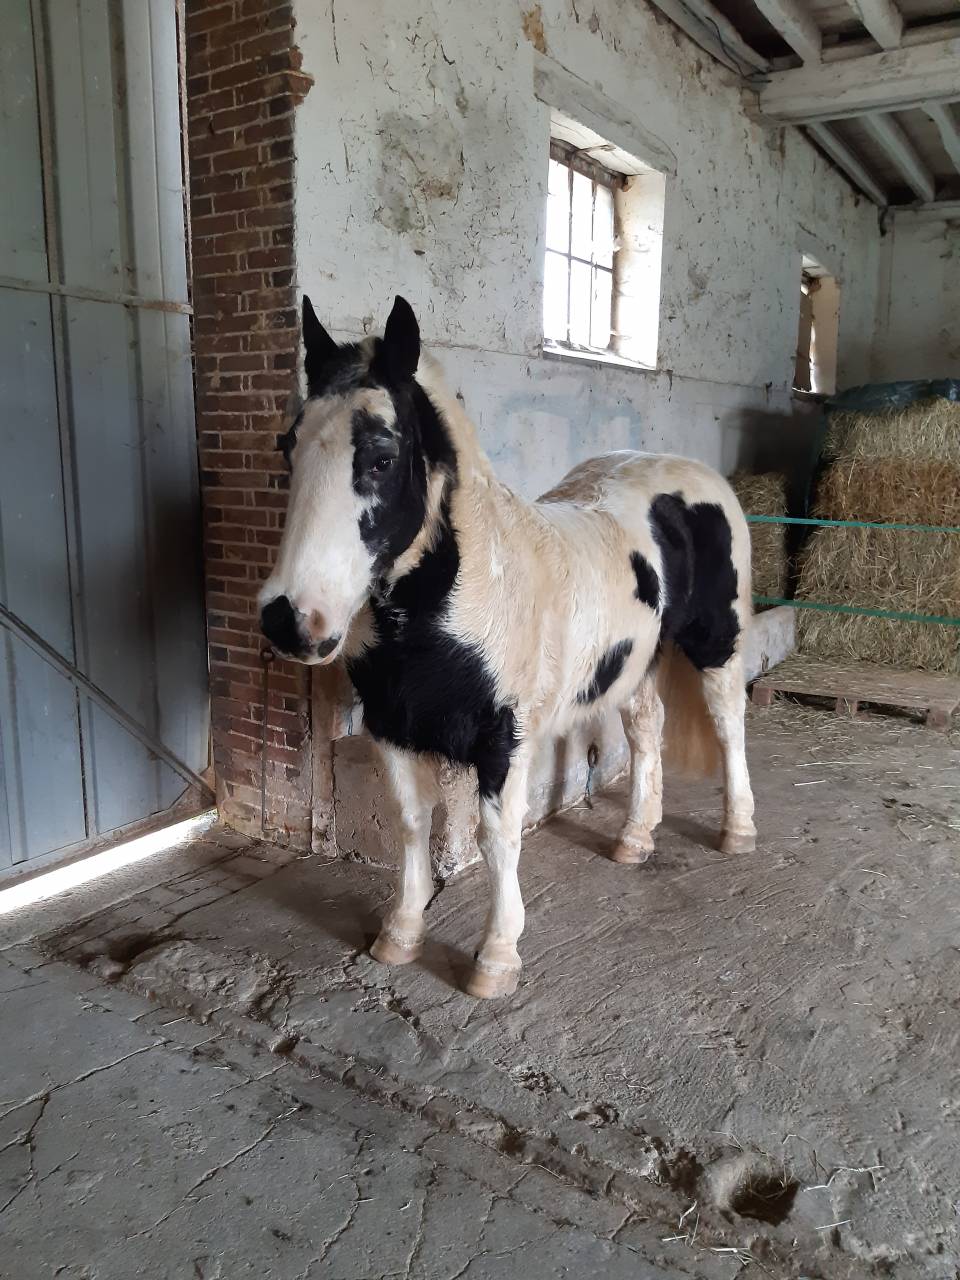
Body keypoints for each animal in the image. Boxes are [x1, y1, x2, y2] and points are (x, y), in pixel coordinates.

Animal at [259, 294, 756, 999]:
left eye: (382, 457)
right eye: (289, 446)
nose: (291, 619)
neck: (462, 605)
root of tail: (693, 477)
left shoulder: (506, 741)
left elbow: (497, 841)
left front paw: (496, 959)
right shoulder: (392, 730)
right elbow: (412, 823)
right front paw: (400, 933)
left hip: (716, 643)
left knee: (729, 723)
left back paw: (737, 830)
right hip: (633, 665)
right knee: (646, 729)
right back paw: (635, 839)